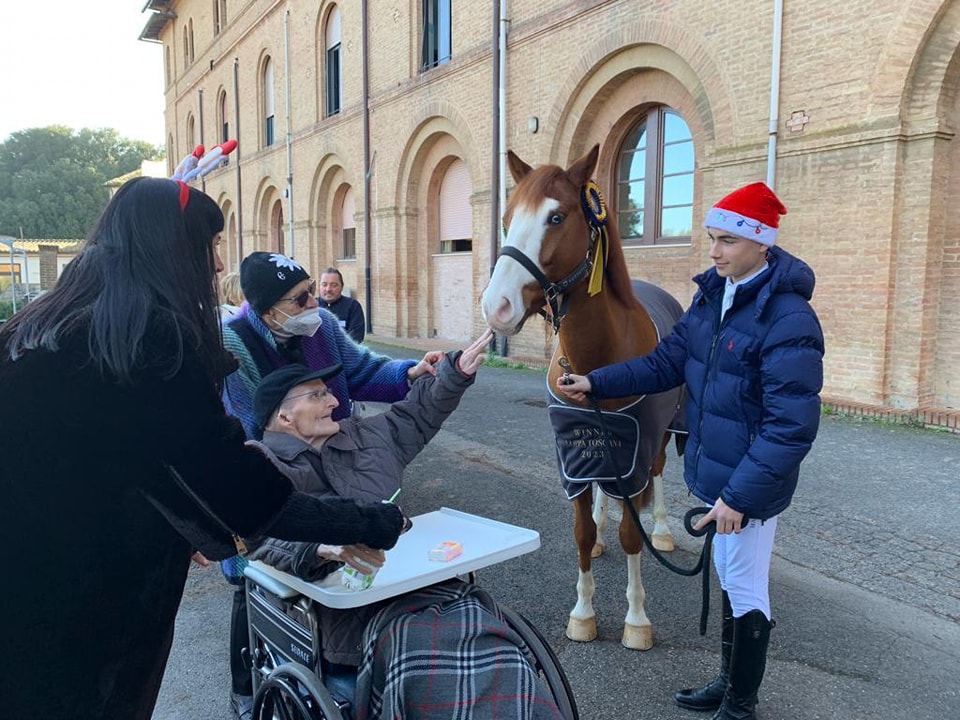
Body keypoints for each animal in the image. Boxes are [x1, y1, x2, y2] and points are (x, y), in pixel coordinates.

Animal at [480, 143, 684, 648]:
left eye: (557, 217)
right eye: (507, 217)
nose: (496, 306)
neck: (599, 365)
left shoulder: (634, 453)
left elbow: (633, 535)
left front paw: (636, 619)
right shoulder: (573, 455)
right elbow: (580, 531)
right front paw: (583, 611)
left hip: (664, 435)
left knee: (659, 477)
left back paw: (663, 529)